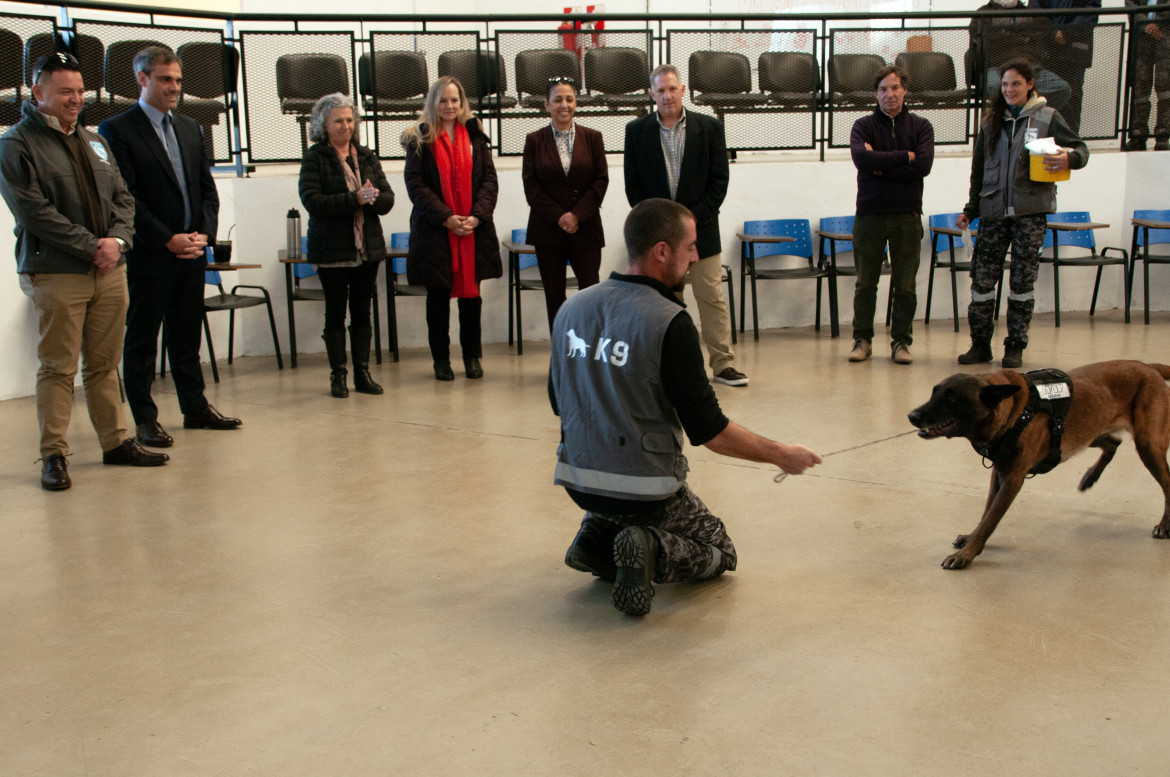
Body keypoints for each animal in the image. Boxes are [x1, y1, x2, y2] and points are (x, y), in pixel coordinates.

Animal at [907, 360, 1170, 571]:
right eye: (934, 393)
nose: (912, 416)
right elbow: (986, 512)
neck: (1016, 410)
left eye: (950, 398)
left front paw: (967, 554)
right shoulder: (999, 474)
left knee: (1166, 482)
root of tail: (1147, 366)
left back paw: (1164, 525)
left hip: (1148, 445)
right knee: (1113, 444)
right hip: (1088, 431)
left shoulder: (1012, 480)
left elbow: (991, 519)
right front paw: (971, 539)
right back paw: (1090, 477)